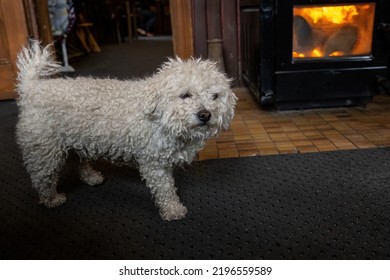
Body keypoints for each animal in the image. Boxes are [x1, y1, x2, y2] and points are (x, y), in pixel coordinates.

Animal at [15, 41, 236, 221]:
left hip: (75, 139)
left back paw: (91, 177)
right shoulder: (153, 164)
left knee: (78, 160)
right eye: (185, 95)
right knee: (42, 177)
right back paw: (51, 199)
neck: (160, 114)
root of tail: (32, 87)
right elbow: (165, 189)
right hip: (42, 150)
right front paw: (172, 210)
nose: (205, 114)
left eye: (215, 96)